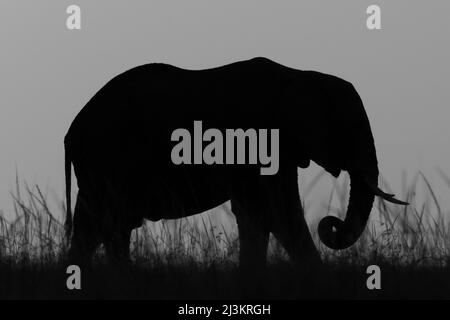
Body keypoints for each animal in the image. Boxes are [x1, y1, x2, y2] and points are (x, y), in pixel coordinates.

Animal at [64, 57, 408, 268]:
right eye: (352, 127)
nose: (331, 223)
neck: (300, 75)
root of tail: (71, 131)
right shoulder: (258, 139)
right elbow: (276, 212)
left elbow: (259, 214)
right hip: (106, 161)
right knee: (104, 224)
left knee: (100, 227)